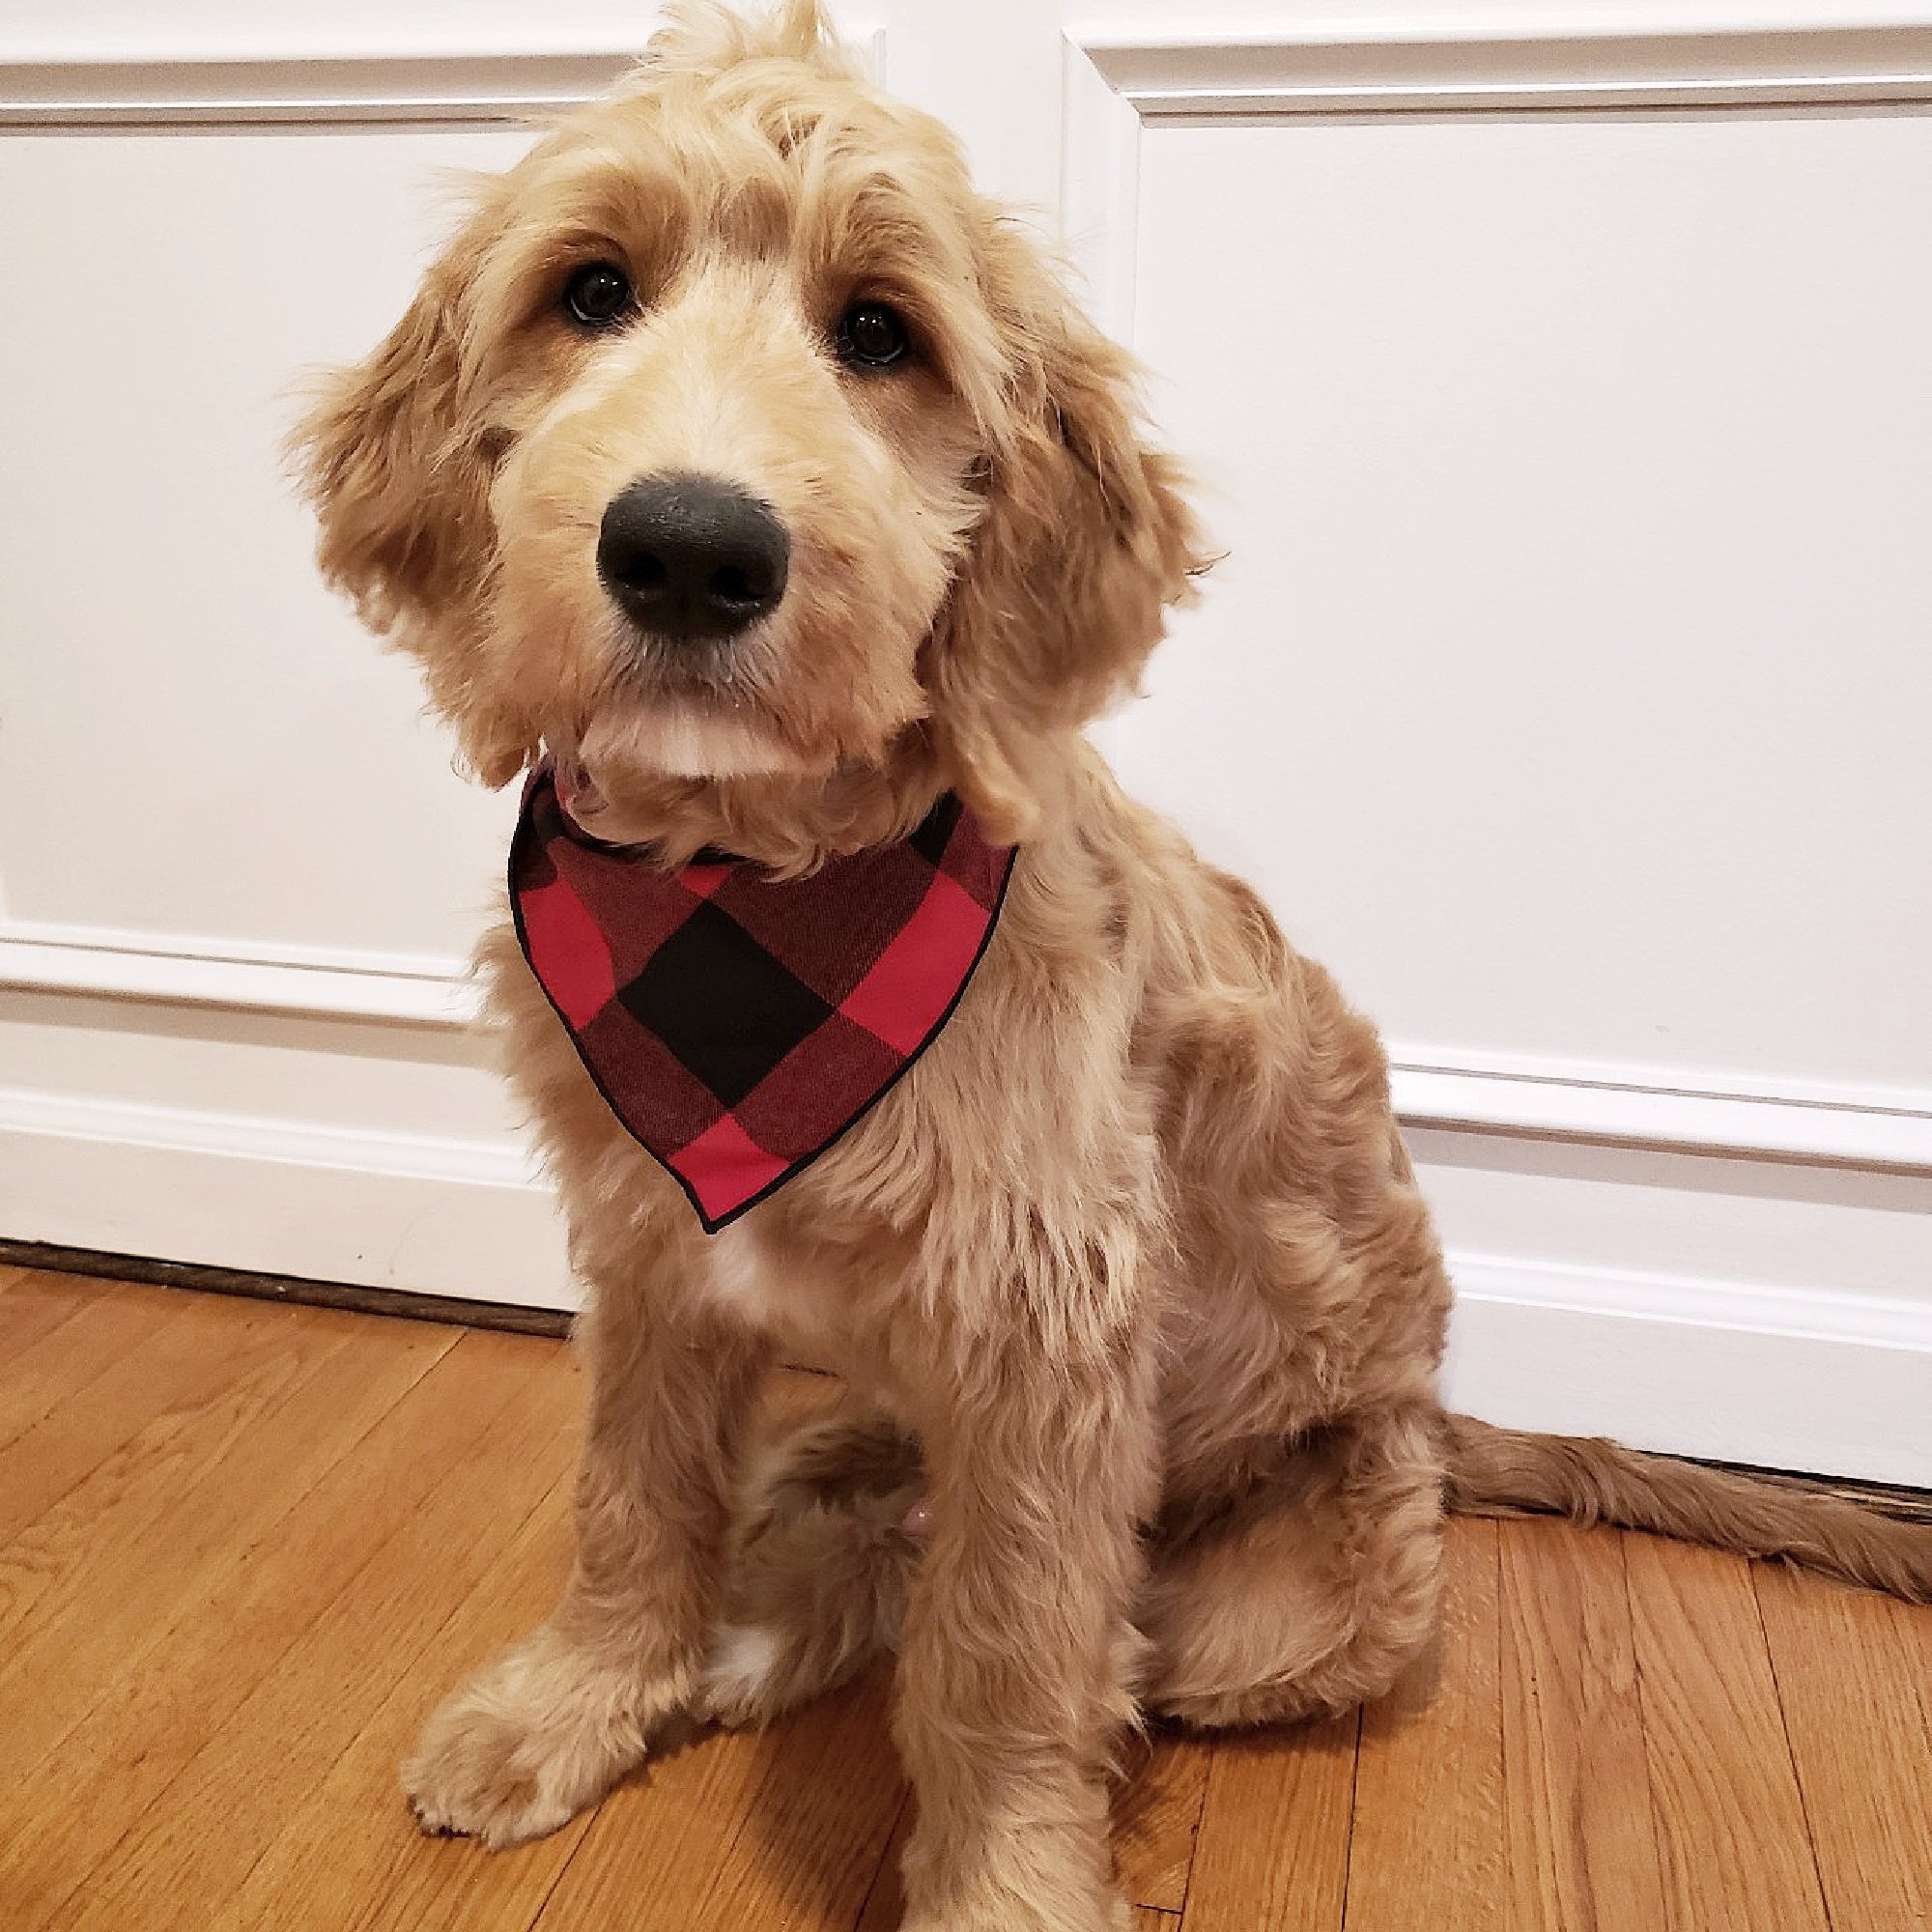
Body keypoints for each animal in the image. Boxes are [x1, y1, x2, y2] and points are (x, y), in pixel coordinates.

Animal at [298, 7, 1932, 1924]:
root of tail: (1433, 1421)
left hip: (1292, 1598)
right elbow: (634, 1498)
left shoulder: (1048, 1338)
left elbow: (1008, 1651)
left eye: (880, 332)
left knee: (1087, 1629)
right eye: (592, 290)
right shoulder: (653, 1249)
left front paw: (1004, 1885)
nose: (690, 550)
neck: (752, 902)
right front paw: (581, 1697)